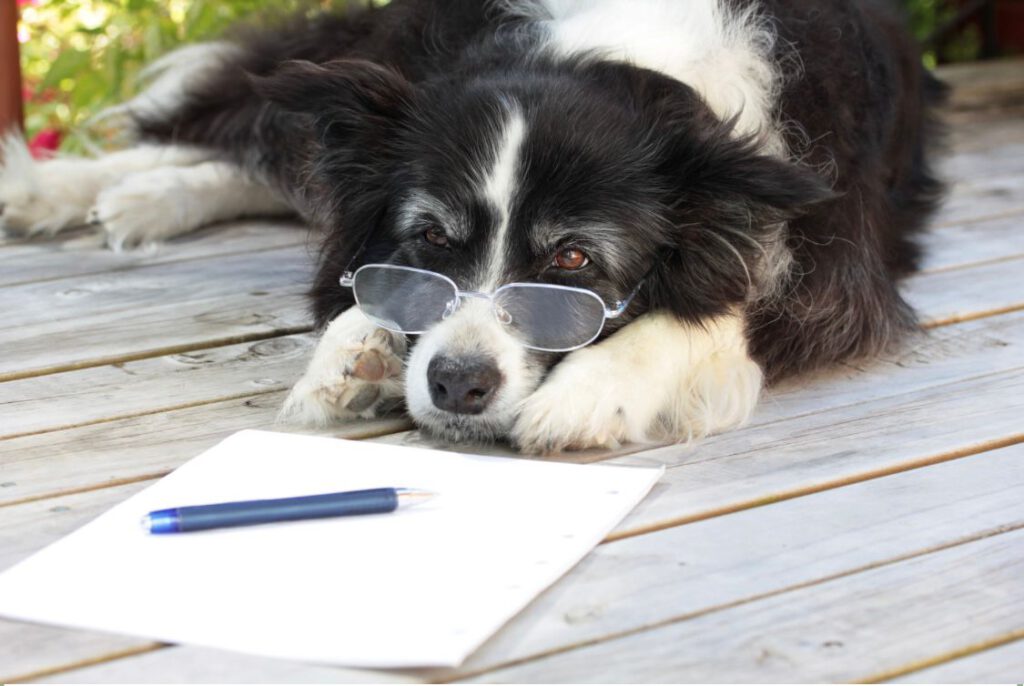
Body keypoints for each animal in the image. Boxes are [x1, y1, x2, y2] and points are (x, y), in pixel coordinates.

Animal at [0, 1, 942, 456]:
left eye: (573, 258)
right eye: (429, 241)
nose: (457, 386)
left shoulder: (832, 268)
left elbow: (721, 305)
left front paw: (591, 389)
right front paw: (354, 349)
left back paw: (139, 199)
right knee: (244, 127)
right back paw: (63, 189)